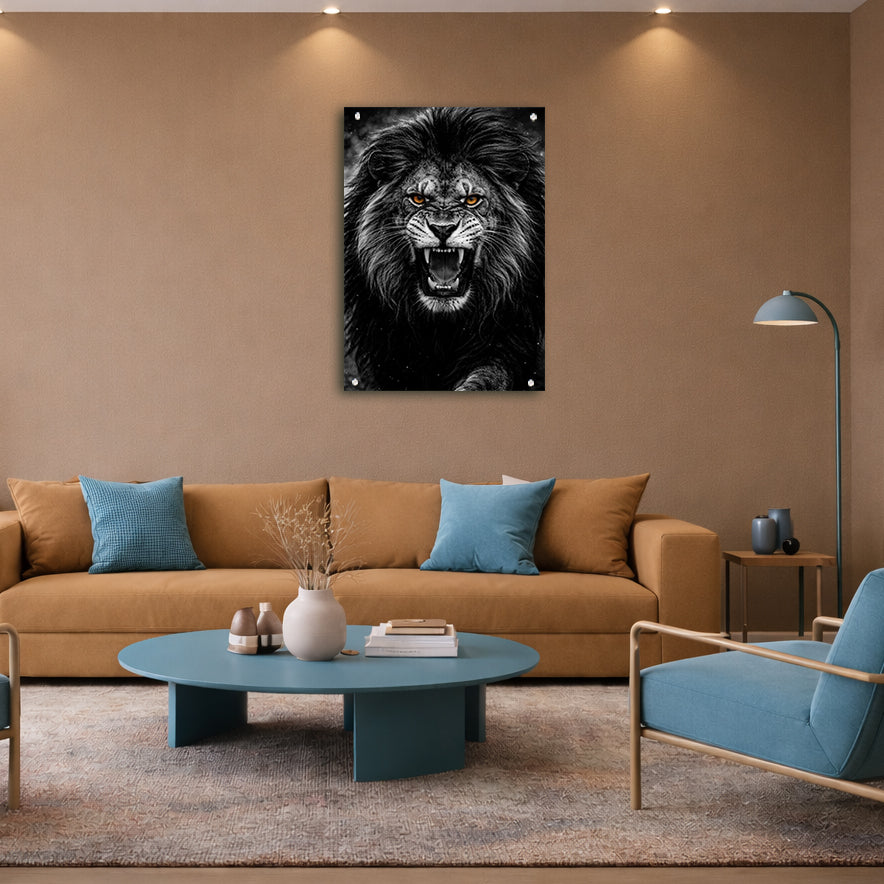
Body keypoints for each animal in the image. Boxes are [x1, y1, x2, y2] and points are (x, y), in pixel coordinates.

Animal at [344, 107, 545, 391]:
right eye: (418, 198)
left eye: (472, 200)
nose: (442, 229)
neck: (441, 328)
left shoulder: (506, 341)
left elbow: (488, 377)